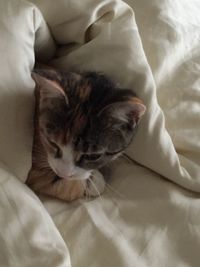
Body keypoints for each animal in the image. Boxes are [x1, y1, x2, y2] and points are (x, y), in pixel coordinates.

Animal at [26, 68, 145, 202]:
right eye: (53, 143)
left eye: (92, 156)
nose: (63, 173)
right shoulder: (35, 170)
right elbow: (62, 186)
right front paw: (94, 182)